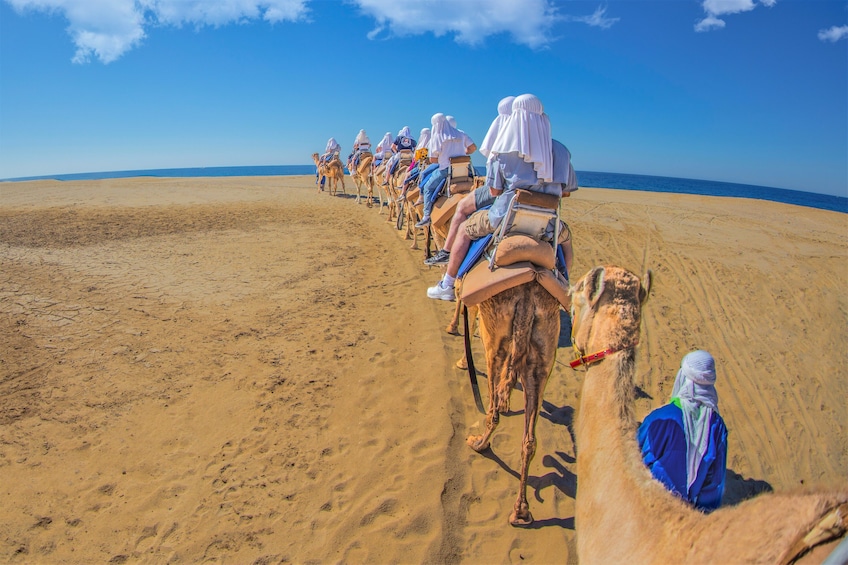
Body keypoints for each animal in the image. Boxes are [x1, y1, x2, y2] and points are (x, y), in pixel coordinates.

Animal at [464, 280, 564, 528]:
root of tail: (528, 303)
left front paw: (462, 362)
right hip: (542, 357)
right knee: (529, 441)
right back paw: (521, 512)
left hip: (496, 342)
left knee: (493, 412)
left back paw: (479, 443)